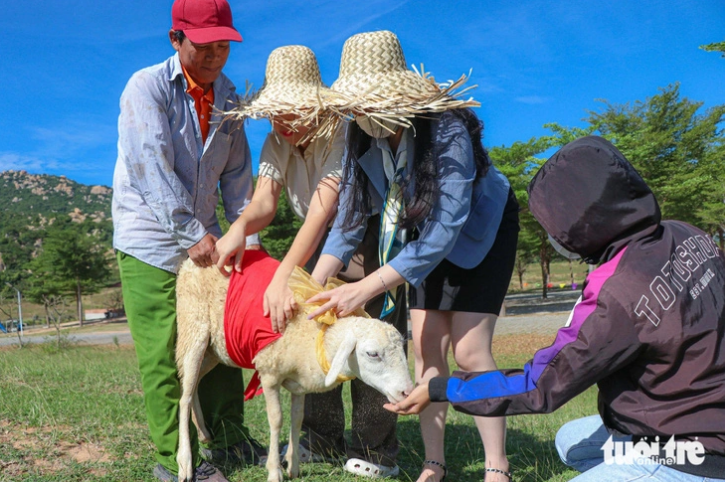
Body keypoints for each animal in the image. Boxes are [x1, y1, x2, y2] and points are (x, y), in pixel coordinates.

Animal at [174, 252, 412, 482]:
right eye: (372, 354)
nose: (406, 392)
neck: (314, 336)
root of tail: (190, 263)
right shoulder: (269, 373)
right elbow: (276, 419)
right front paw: (274, 471)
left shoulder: (300, 384)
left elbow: (296, 419)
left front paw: (293, 467)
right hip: (193, 329)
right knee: (184, 397)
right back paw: (185, 461)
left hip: (213, 350)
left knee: (193, 385)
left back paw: (203, 433)